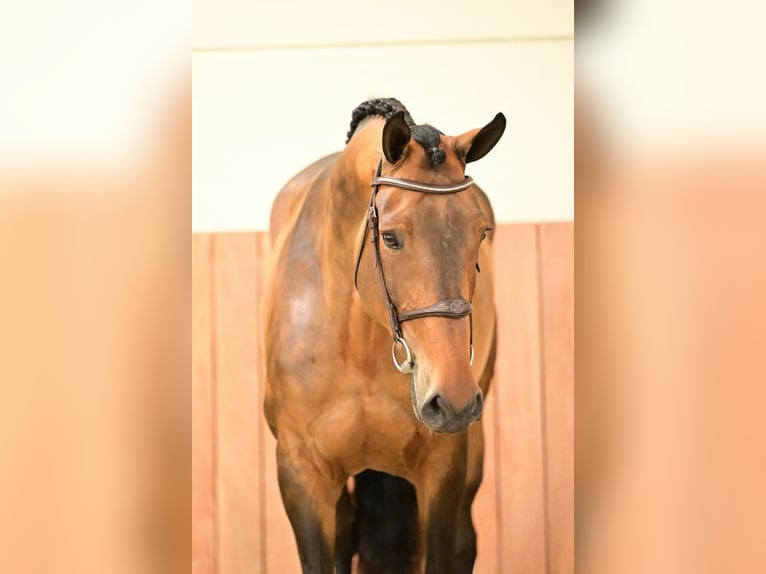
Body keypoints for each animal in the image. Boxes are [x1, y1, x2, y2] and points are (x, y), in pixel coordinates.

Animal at [262, 98, 505, 573]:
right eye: (390, 239)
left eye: (481, 233)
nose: (453, 399)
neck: (356, 341)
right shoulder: (301, 473)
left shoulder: (442, 467)